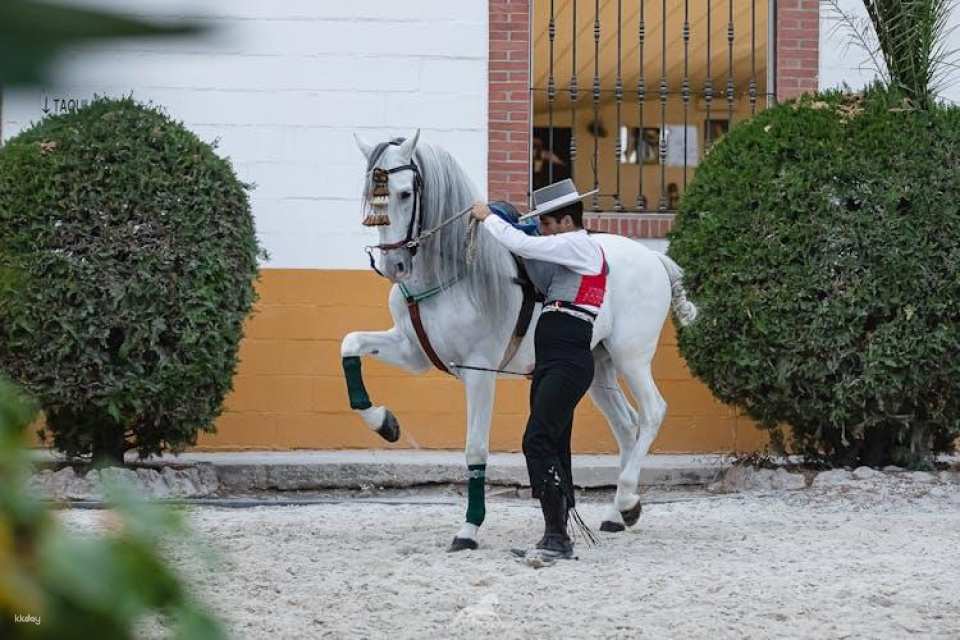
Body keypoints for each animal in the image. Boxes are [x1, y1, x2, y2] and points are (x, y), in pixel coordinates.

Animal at [341, 130, 698, 551]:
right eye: (371, 192)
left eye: (405, 193)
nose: (393, 266)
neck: (454, 273)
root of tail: (652, 258)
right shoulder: (413, 353)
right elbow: (350, 344)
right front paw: (385, 423)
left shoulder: (478, 370)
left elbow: (475, 447)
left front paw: (469, 529)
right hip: (599, 369)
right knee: (627, 426)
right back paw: (616, 514)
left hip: (632, 357)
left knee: (652, 411)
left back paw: (627, 499)